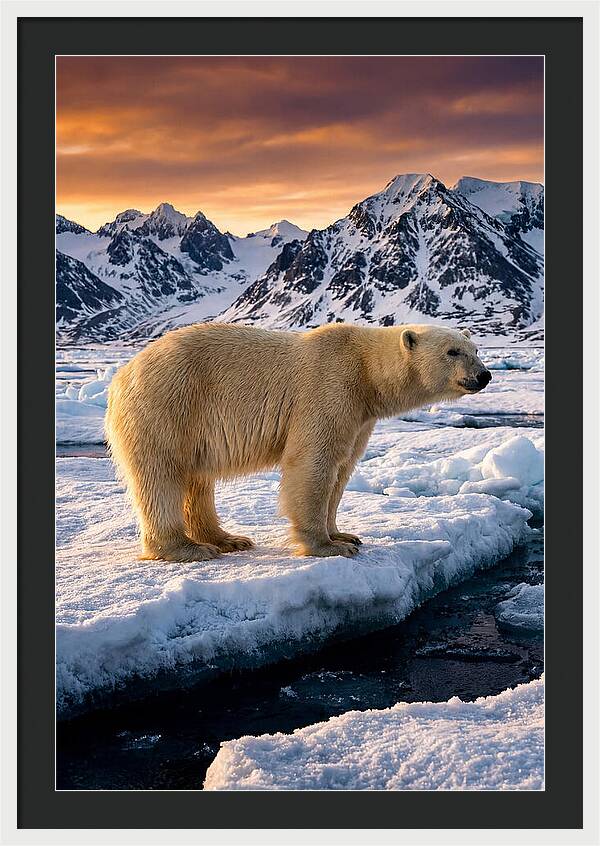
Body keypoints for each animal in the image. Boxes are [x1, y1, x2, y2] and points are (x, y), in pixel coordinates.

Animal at [105, 322, 491, 562]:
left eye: (475, 348)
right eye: (452, 351)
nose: (484, 375)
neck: (366, 371)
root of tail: (122, 374)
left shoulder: (359, 416)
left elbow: (342, 469)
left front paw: (344, 535)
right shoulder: (329, 387)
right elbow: (313, 463)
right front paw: (327, 547)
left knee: (197, 480)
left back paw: (227, 538)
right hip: (169, 403)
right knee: (162, 474)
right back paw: (187, 548)